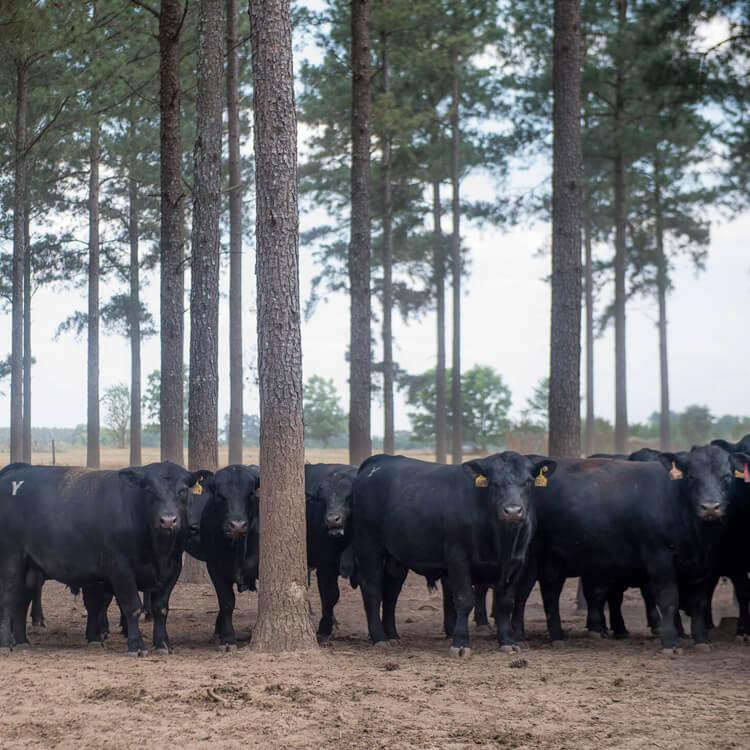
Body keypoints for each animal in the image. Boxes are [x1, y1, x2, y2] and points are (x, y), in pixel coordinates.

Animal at [0, 461, 209, 656]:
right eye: (149, 489)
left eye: (183, 490)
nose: (168, 520)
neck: (158, 551)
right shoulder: (120, 569)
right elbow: (132, 606)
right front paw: (136, 646)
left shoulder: (172, 569)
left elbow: (160, 608)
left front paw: (163, 644)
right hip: (11, 560)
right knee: (8, 598)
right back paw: (5, 643)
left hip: (30, 568)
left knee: (21, 600)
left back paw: (22, 641)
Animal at [305, 463, 357, 639]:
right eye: (323, 499)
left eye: (349, 497)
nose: (332, 520)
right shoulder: (325, 565)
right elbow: (330, 594)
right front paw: (324, 628)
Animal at [351, 452, 555, 657]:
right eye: (494, 482)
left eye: (528, 481)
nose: (513, 511)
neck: (500, 540)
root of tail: (380, 460)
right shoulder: (458, 557)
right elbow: (464, 599)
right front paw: (461, 643)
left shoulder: (517, 562)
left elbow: (505, 602)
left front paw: (508, 641)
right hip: (368, 546)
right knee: (372, 589)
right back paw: (380, 637)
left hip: (396, 558)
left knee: (391, 592)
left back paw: (392, 635)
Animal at [513, 446, 748, 655]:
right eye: (691, 476)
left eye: (726, 476)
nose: (710, 507)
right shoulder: (659, 557)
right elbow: (668, 598)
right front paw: (670, 642)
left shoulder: (702, 563)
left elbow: (699, 600)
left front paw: (701, 640)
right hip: (530, 559)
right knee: (522, 593)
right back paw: (519, 637)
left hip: (554, 560)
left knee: (551, 593)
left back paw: (557, 637)